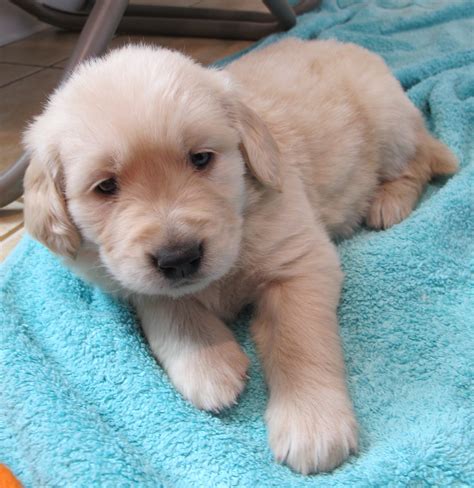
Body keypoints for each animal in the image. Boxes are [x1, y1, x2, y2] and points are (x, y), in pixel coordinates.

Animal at [21, 40, 456, 474]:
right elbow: (164, 303)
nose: (179, 257)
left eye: (200, 158)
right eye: (106, 186)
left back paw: (389, 201)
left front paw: (312, 423)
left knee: (422, 158)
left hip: (389, 124)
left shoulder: (300, 259)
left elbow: (299, 339)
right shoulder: (126, 275)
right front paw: (207, 364)